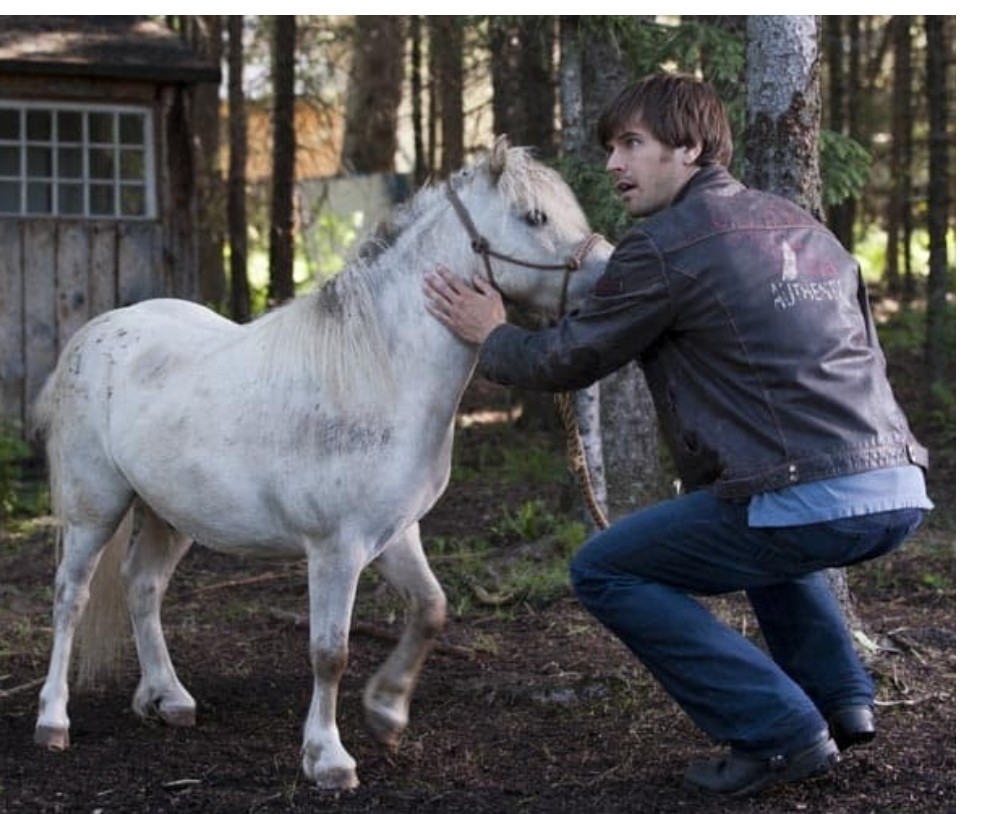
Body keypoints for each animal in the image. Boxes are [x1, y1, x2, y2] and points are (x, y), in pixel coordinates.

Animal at [29, 136, 611, 792]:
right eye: (534, 217)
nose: (610, 273)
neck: (379, 372)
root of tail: (96, 332)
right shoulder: (336, 549)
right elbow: (330, 652)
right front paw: (329, 757)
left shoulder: (396, 534)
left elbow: (431, 611)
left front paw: (387, 711)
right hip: (95, 509)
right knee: (70, 596)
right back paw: (53, 720)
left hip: (169, 513)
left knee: (142, 585)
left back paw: (167, 697)